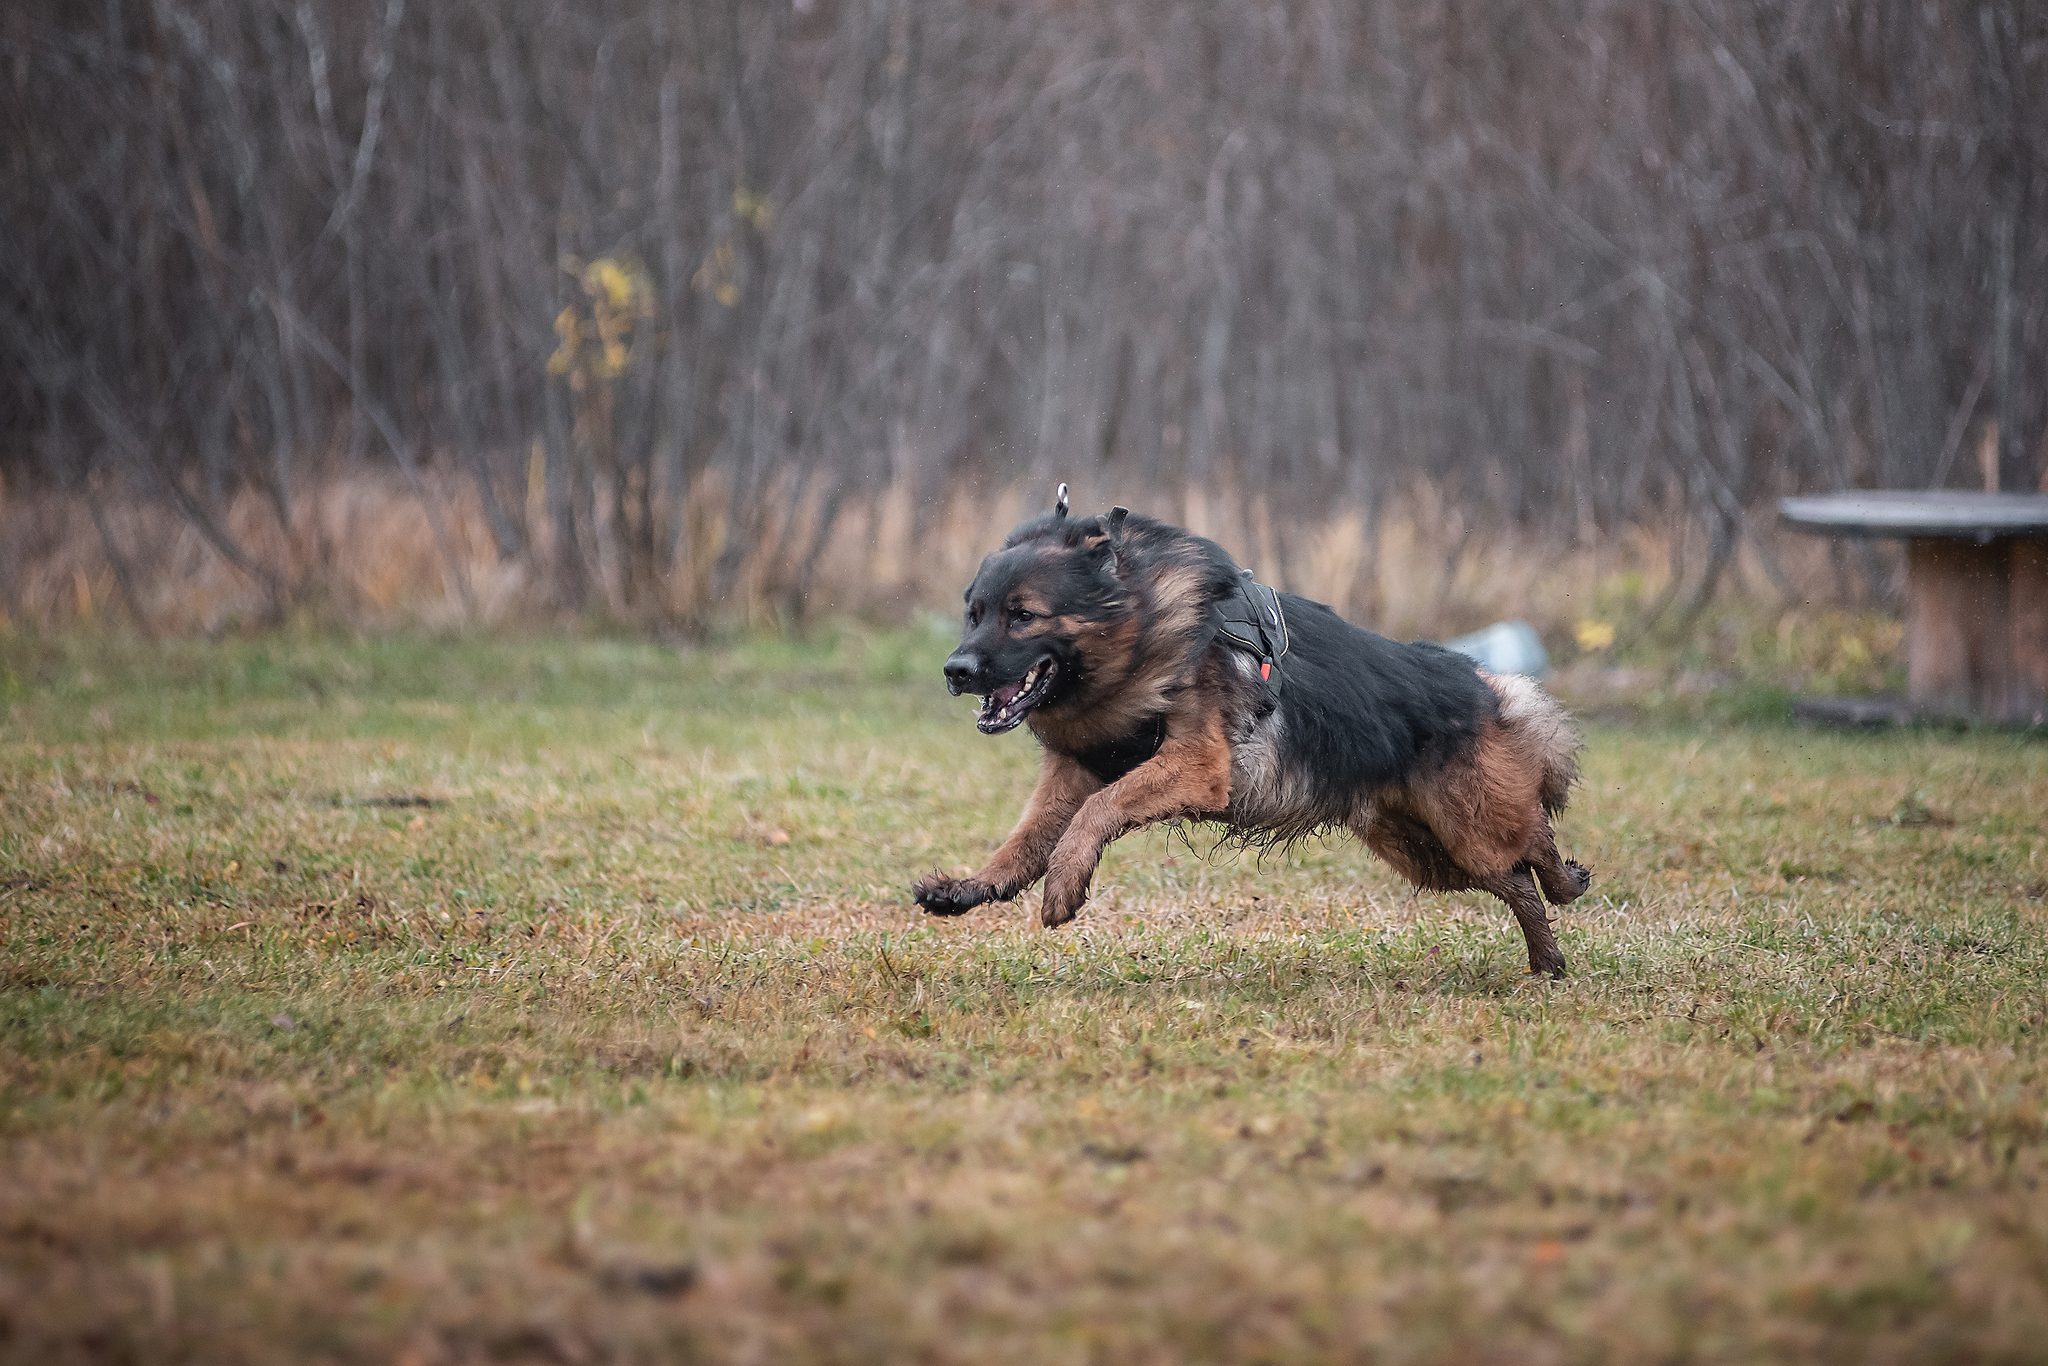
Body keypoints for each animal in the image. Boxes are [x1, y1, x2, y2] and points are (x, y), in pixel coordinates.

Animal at [905, 485, 1589, 978]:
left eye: (1022, 616)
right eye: (974, 614)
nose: (954, 670)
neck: (1139, 627)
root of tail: (1482, 682)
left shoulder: (1196, 767)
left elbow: (1098, 811)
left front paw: (1064, 884)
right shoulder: (1077, 770)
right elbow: (1025, 839)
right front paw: (975, 887)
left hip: (1469, 825)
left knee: (1533, 842)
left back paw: (1567, 884)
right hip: (1428, 851)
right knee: (1514, 880)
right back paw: (1547, 960)